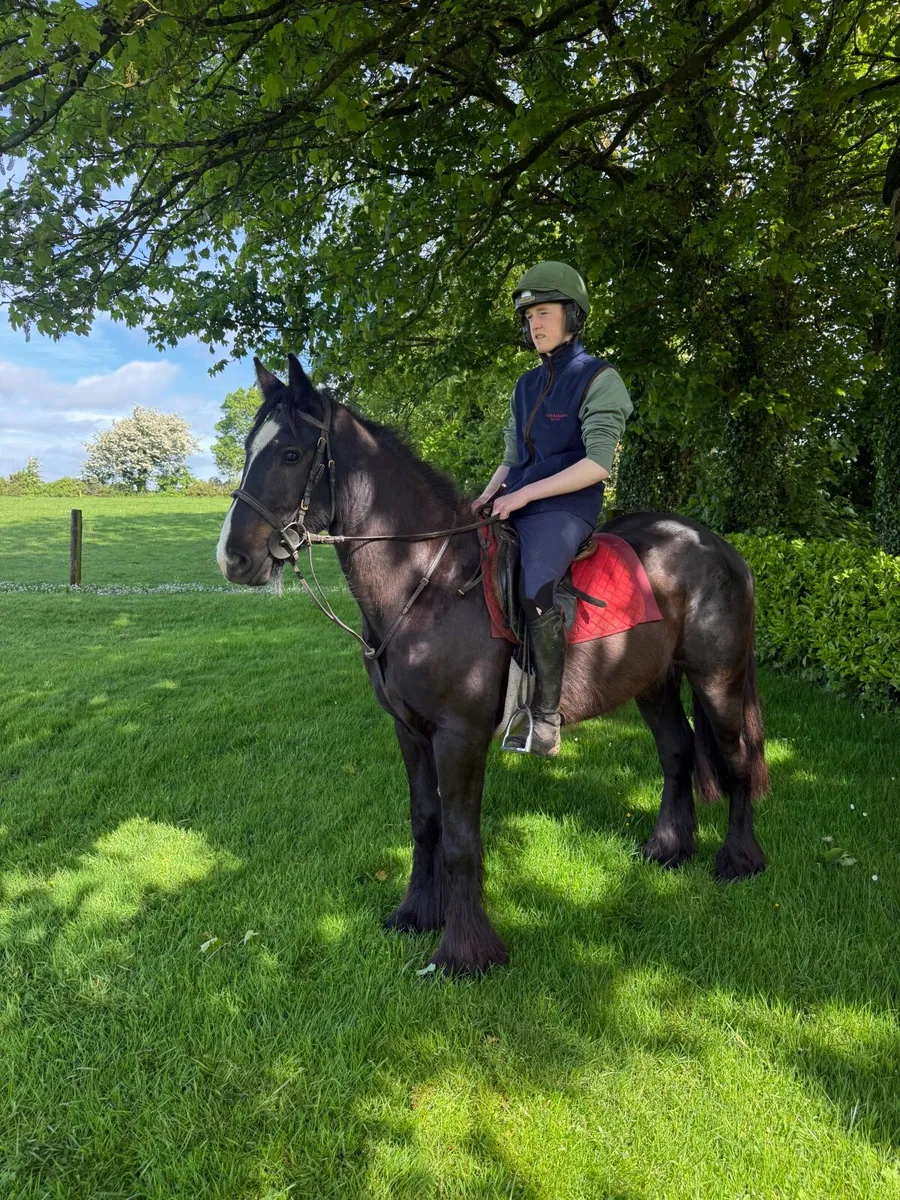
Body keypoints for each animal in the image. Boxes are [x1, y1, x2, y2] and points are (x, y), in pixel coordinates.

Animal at [217, 355, 769, 976]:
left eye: (290, 454)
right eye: (249, 447)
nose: (234, 558)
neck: (427, 581)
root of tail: (718, 546)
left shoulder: (461, 735)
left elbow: (461, 841)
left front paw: (465, 951)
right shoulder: (410, 731)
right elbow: (425, 822)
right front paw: (416, 913)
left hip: (718, 679)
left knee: (736, 759)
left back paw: (740, 859)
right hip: (653, 683)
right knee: (677, 753)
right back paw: (668, 849)